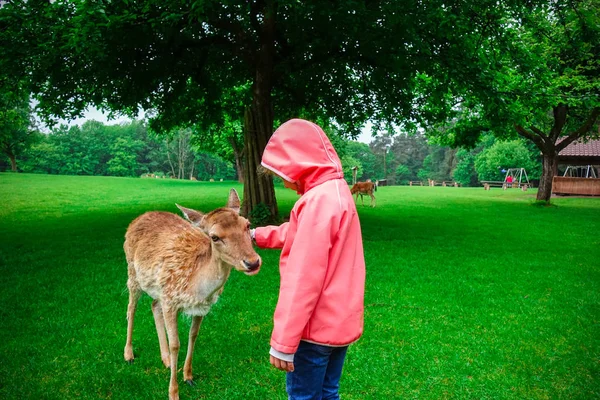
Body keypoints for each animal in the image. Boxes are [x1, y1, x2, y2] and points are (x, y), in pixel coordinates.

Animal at [122, 188, 260, 400]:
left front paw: (188, 376)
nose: (252, 262)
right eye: (214, 237)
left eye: (247, 224)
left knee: (154, 305)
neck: (196, 287)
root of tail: (139, 217)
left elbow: (193, 335)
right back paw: (129, 354)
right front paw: (173, 392)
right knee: (131, 308)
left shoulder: (200, 306)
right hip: (132, 272)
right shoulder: (171, 300)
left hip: (158, 289)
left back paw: (166, 359)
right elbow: (175, 343)